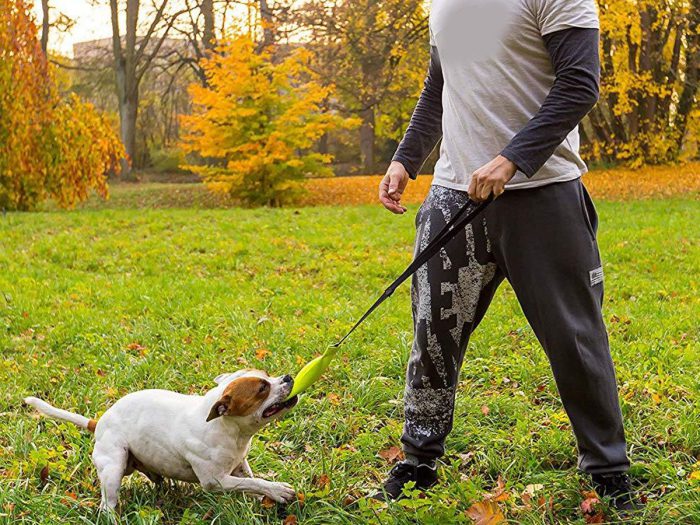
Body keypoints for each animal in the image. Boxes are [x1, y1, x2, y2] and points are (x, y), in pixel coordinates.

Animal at [23, 366, 298, 510]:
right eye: (262, 388)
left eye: (267, 375)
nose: (288, 377)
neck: (227, 428)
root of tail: (99, 421)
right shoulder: (215, 481)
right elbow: (254, 482)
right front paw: (278, 491)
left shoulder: (238, 465)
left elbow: (252, 481)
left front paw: (268, 496)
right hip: (113, 469)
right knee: (107, 504)